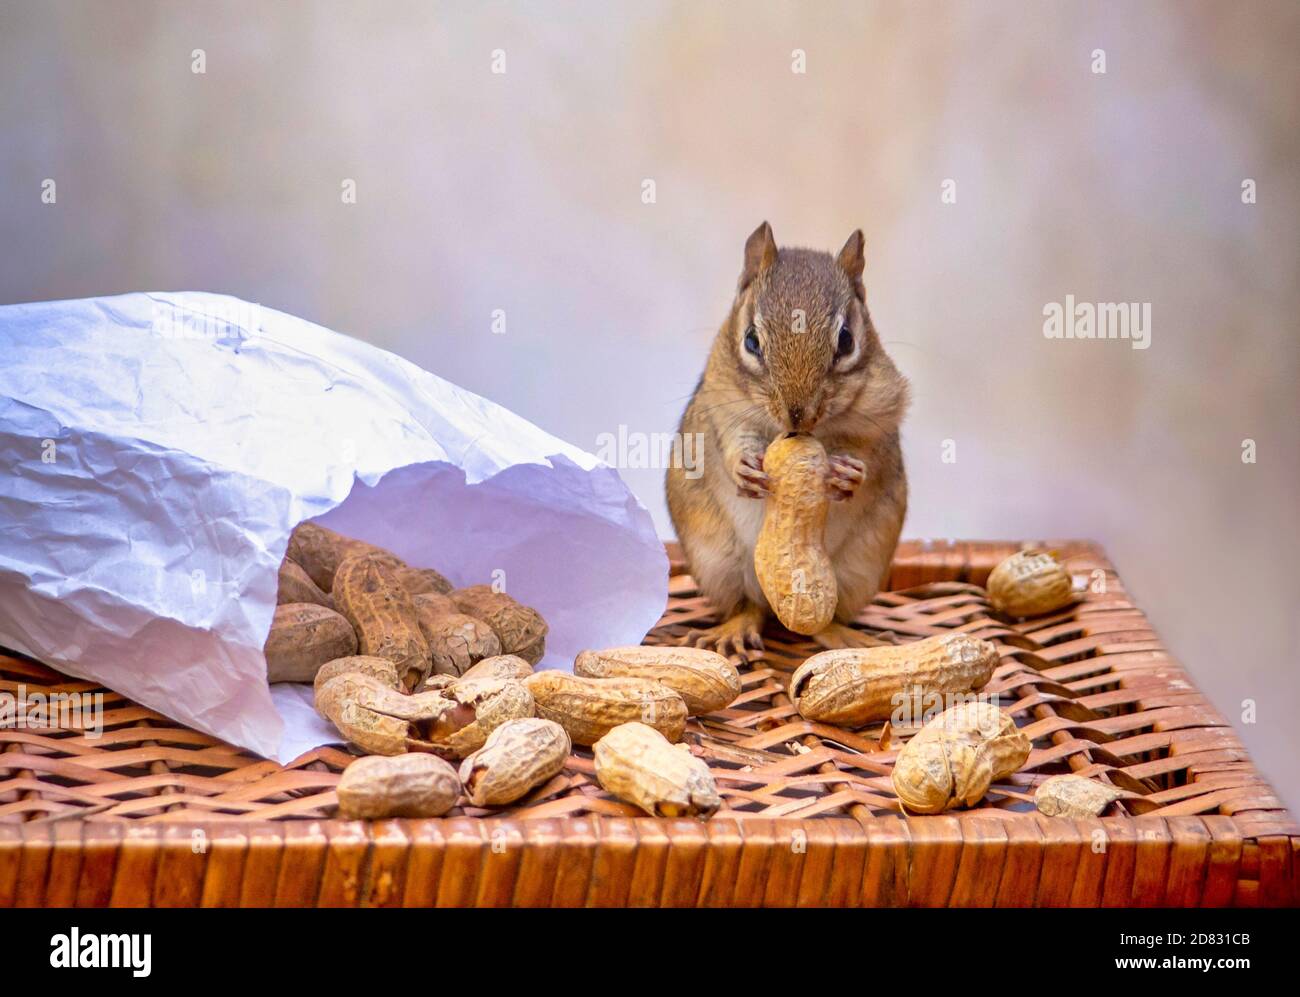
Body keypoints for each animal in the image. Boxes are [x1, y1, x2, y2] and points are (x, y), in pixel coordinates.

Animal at [666, 221, 909, 659]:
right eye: (750, 340)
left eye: (846, 340)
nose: (797, 416)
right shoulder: (722, 405)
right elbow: (734, 442)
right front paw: (744, 469)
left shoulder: (881, 414)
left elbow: (868, 455)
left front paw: (849, 474)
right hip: (717, 563)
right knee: (747, 606)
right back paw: (733, 630)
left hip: (860, 570)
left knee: (825, 619)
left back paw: (847, 637)